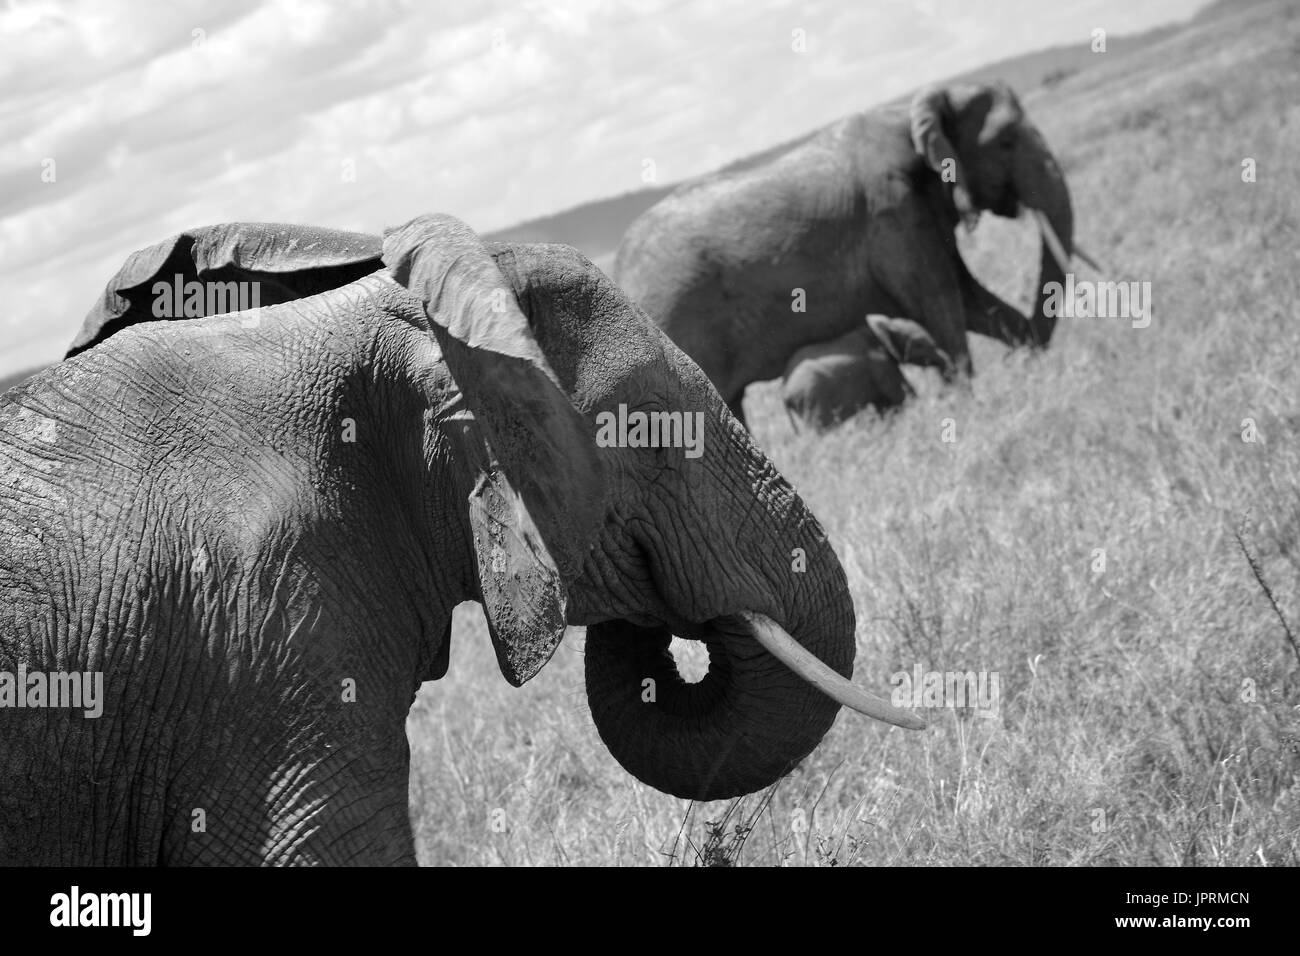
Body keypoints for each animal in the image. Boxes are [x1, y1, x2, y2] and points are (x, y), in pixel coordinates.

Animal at [774, 316, 951, 431]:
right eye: (920, 344)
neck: (883, 326)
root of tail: (783, 392)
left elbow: (886, 405)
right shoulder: (880, 363)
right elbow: (903, 395)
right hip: (812, 397)